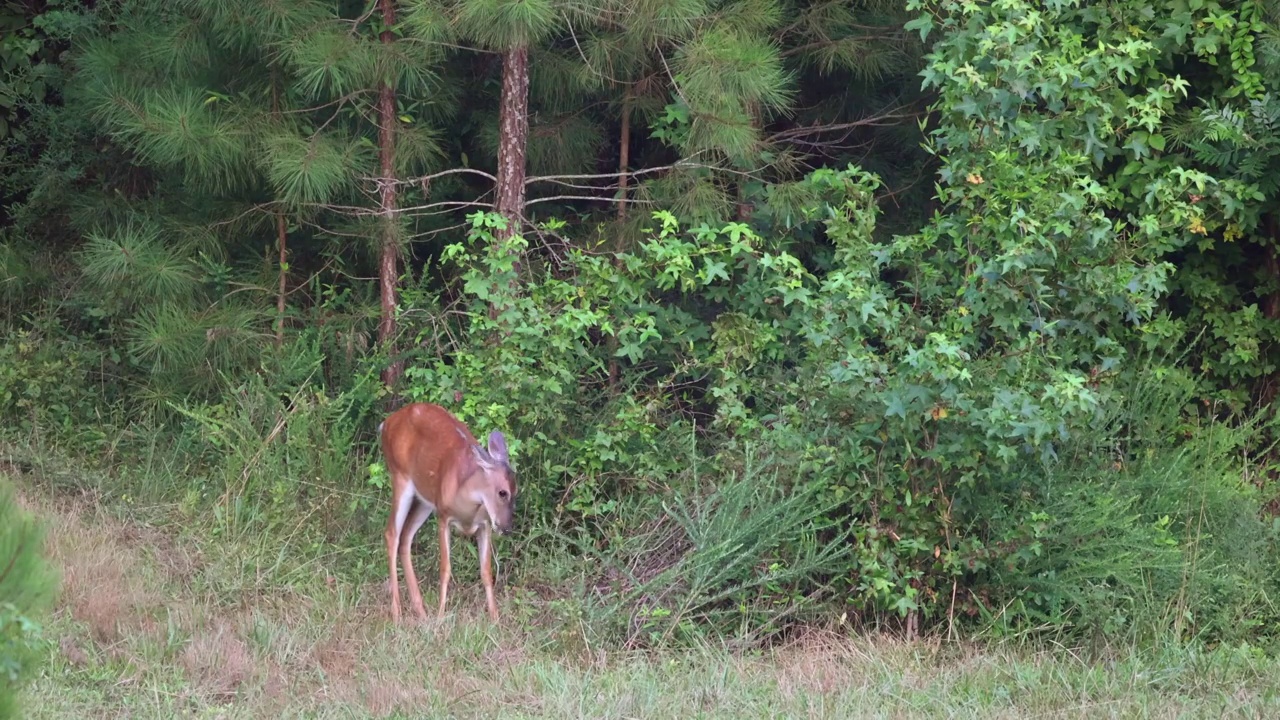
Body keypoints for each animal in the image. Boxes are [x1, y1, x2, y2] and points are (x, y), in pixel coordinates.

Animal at [376, 399, 517, 620]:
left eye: (517, 491)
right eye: (502, 492)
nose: (506, 527)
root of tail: (387, 423)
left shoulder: (484, 525)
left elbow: (486, 572)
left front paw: (495, 618)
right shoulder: (443, 517)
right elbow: (445, 569)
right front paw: (441, 615)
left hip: (425, 499)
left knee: (406, 536)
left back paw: (421, 612)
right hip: (400, 477)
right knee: (392, 533)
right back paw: (398, 614)